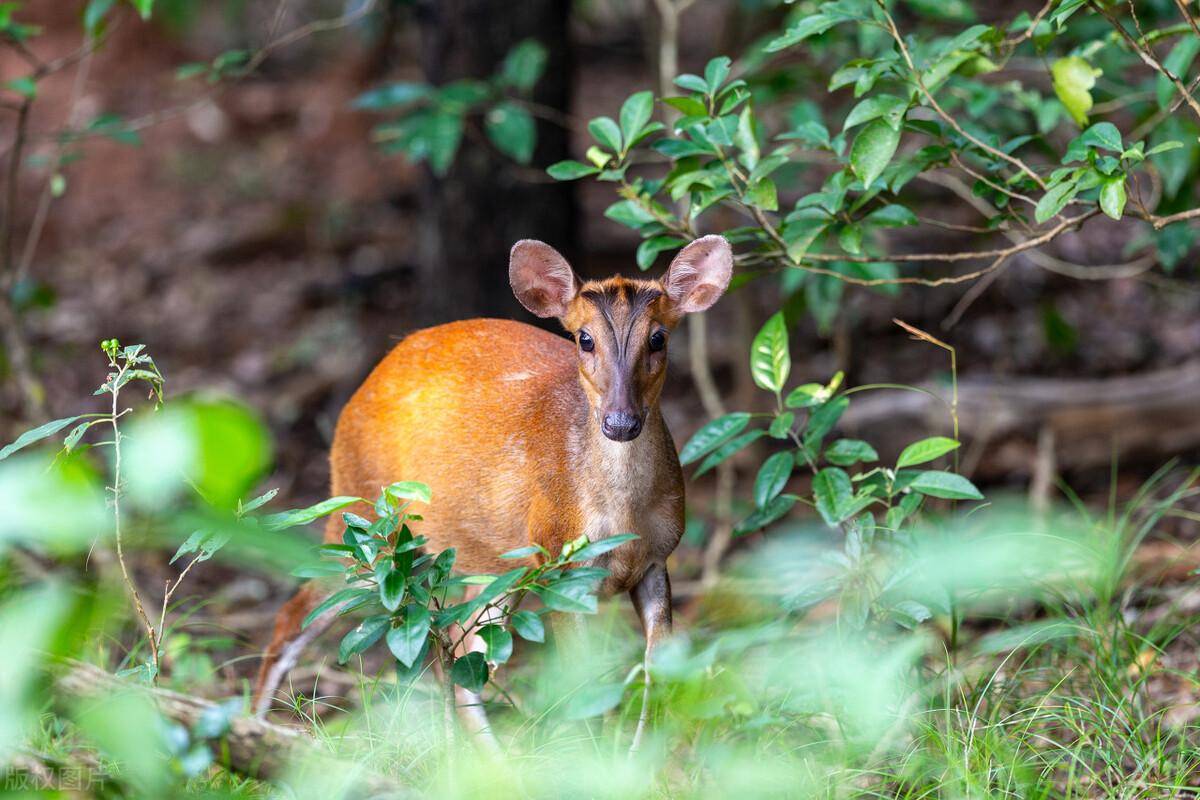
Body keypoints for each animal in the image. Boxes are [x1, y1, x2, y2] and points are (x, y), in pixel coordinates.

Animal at [253, 235, 729, 748]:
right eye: (584, 339)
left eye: (658, 337)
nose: (620, 422)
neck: (623, 514)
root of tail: (363, 387)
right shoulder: (559, 560)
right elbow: (582, 685)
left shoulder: (657, 558)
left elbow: (659, 672)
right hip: (363, 512)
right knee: (295, 613)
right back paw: (251, 728)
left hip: (492, 563)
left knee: (459, 651)